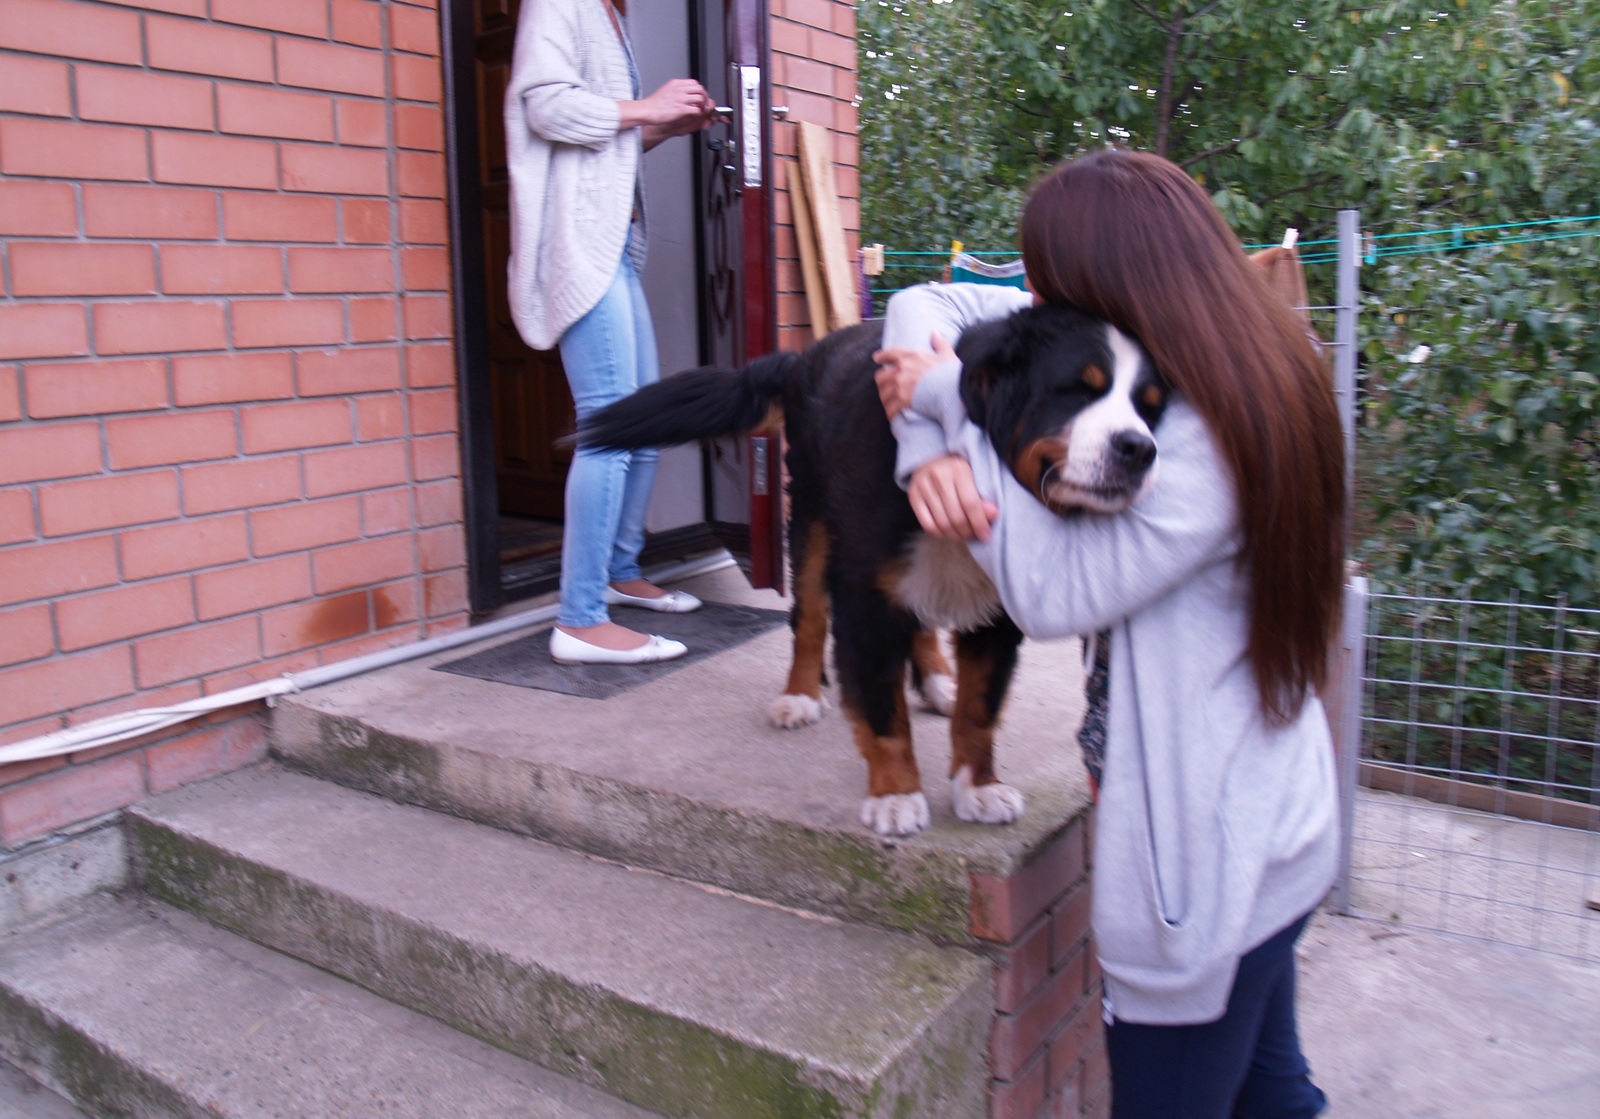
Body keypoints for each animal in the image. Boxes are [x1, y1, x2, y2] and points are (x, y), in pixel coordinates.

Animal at [576, 302, 1164, 838]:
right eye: (1077, 389)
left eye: (1150, 409)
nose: (1140, 449)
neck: (972, 469)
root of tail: (804, 355)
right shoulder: (865, 597)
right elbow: (883, 710)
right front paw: (897, 795)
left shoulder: (998, 611)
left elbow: (979, 709)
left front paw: (978, 786)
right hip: (813, 517)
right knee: (810, 617)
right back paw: (799, 695)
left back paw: (938, 680)